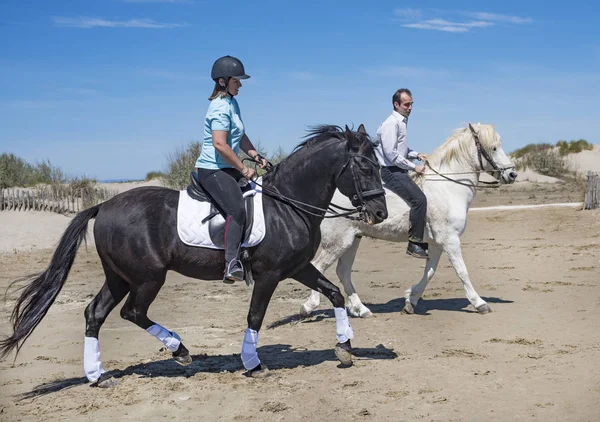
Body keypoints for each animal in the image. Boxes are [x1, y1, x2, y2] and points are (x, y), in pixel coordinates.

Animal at [0, 123, 386, 386]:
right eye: (366, 168)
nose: (380, 213)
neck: (288, 204)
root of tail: (104, 206)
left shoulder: (298, 267)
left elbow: (333, 293)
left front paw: (345, 348)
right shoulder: (270, 275)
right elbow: (255, 317)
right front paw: (253, 364)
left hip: (119, 277)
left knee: (95, 313)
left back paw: (98, 375)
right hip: (148, 277)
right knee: (132, 312)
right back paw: (179, 351)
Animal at [300, 122, 516, 316]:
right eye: (494, 147)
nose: (512, 173)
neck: (448, 187)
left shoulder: (437, 243)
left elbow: (430, 272)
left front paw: (410, 300)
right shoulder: (451, 240)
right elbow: (462, 271)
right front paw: (480, 303)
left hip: (353, 240)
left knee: (343, 272)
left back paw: (361, 309)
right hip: (338, 242)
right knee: (319, 266)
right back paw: (309, 307)